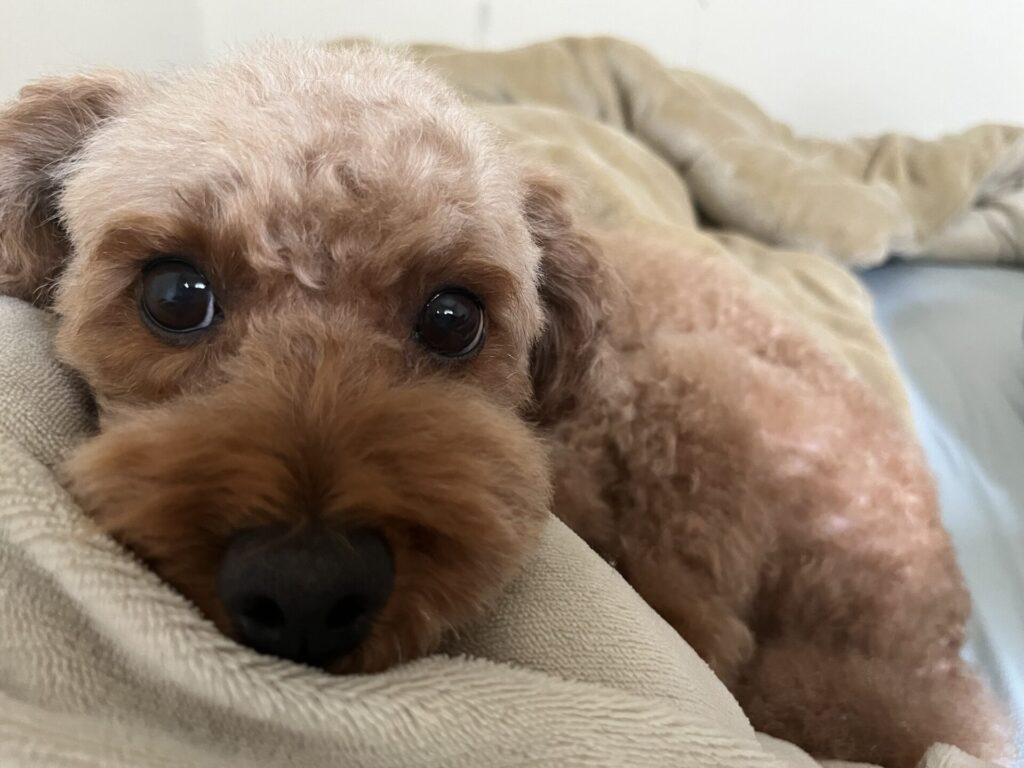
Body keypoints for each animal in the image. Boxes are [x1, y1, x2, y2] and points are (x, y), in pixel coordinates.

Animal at [0, 44, 1009, 767]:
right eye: (176, 295)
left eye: (453, 317)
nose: (307, 588)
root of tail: (934, 627)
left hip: (702, 394)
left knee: (715, 643)